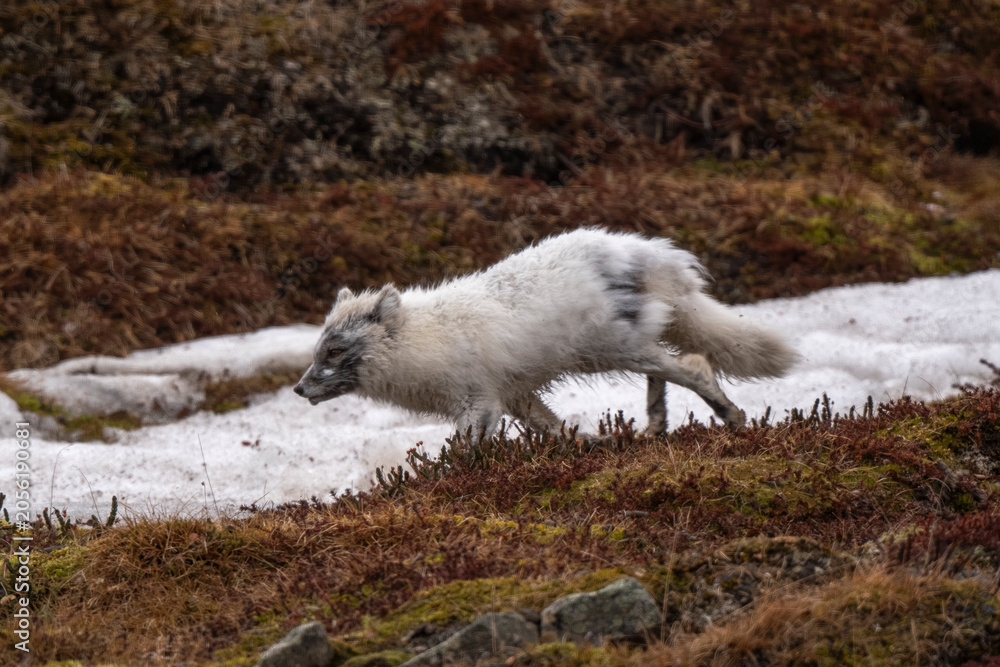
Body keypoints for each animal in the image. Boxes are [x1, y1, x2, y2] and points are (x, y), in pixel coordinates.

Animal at [294, 228, 798, 438]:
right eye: (318, 348)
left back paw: (731, 418)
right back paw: (655, 426)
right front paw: (593, 446)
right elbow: (555, 430)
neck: (422, 340)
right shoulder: (514, 396)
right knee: (666, 370)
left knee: (693, 366)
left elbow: (464, 451)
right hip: (626, 346)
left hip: (612, 348)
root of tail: (651, 256)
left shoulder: (479, 401)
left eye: (335, 351)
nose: (298, 389)